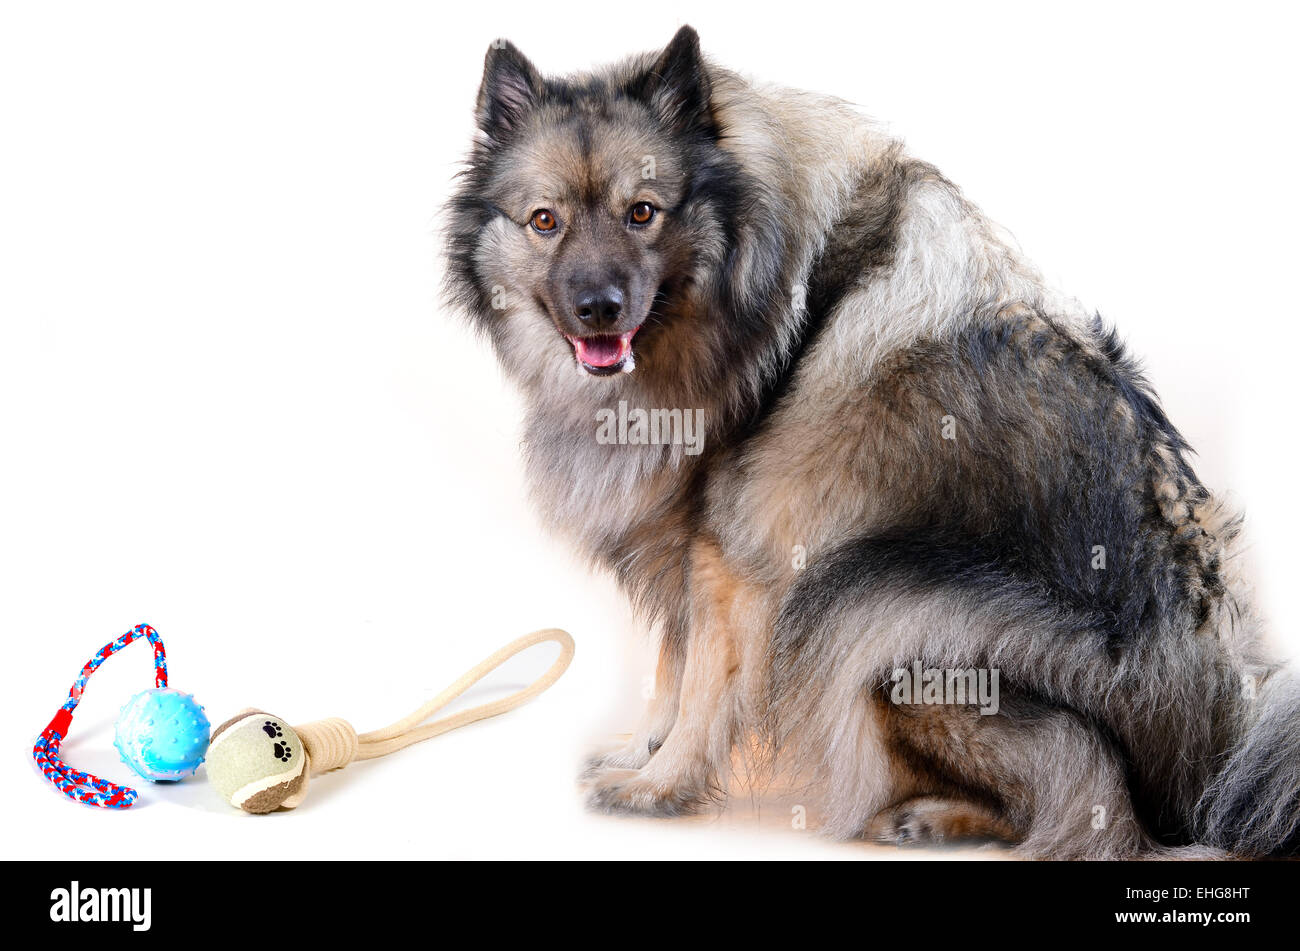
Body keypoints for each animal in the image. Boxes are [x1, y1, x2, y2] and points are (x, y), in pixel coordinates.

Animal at [447, 25, 1300, 857]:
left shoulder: (731, 556)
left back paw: (935, 816)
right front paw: (640, 752)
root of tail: (1220, 752)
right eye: (545, 221)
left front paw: (660, 786)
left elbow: (702, 685)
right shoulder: (689, 540)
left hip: (885, 611)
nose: (598, 306)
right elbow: (671, 666)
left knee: (1088, 795)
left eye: (643, 212)